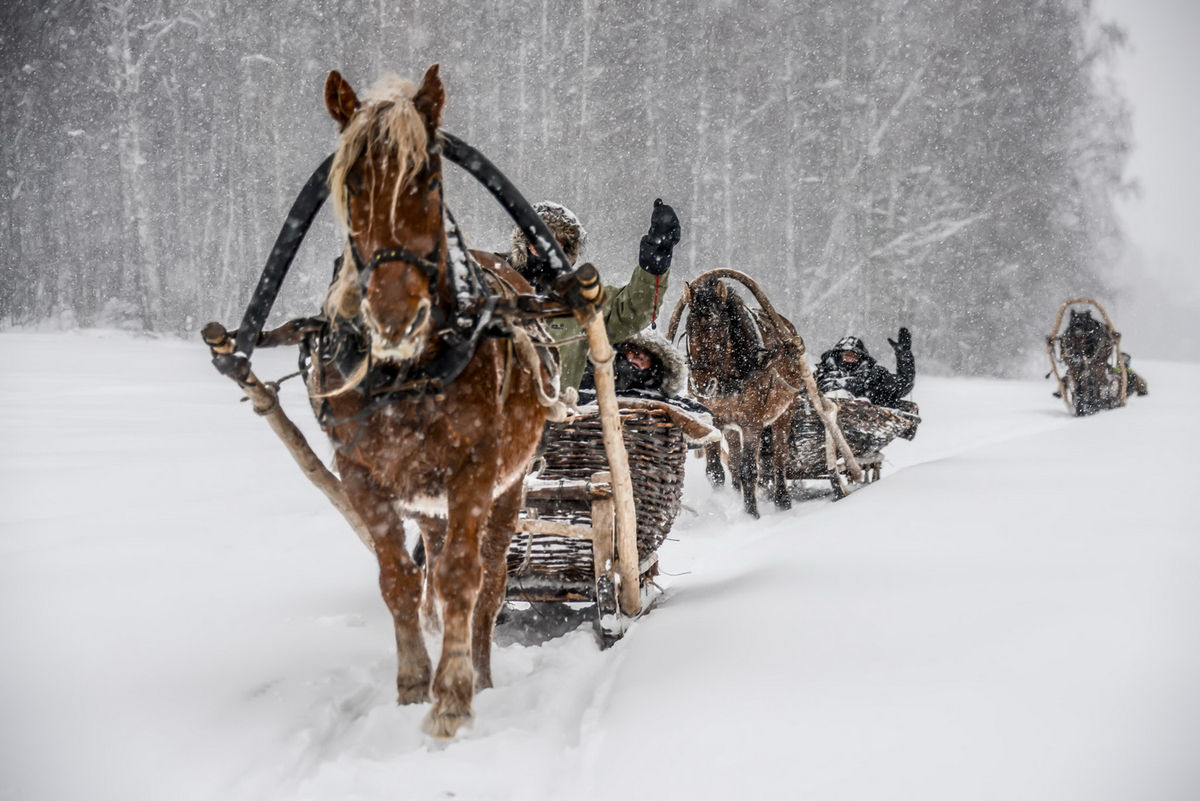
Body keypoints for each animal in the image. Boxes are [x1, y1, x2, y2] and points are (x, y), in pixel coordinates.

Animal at [312, 67, 549, 738]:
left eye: (428, 178)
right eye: (354, 181)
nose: (395, 316)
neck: (406, 373)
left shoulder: (476, 468)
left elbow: (464, 579)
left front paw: (453, 696)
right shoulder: (360, 473)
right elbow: (398, 580)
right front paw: (414, 684)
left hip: (509, 485)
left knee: (490, 578)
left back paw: (483, 670)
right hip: (427, 499)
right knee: (432, 570)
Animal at [667, 270, 806, 520]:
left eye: (720, 327)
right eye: (689, 328)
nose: (702, 385)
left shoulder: (752, 423)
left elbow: (749, 468)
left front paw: (751, 514)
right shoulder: (713, 421)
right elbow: (715, 470)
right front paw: (723, 501)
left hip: (784, 412)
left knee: (779, 456)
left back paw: (782, 500)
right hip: (731, 426)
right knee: (733, 459)